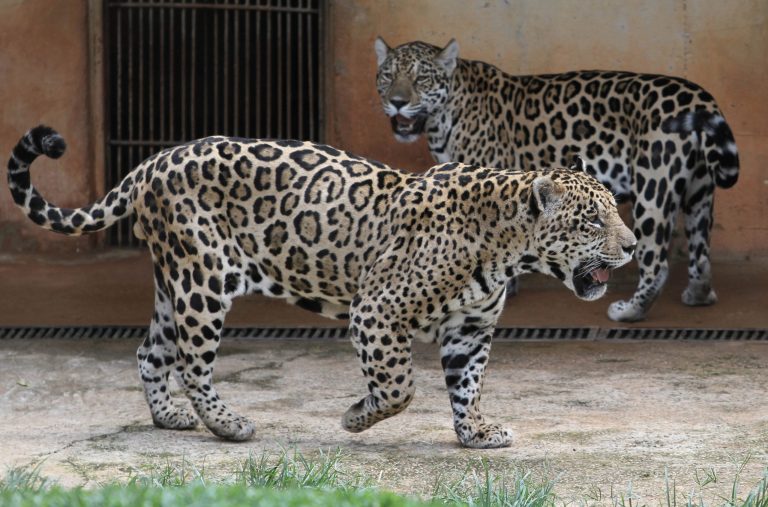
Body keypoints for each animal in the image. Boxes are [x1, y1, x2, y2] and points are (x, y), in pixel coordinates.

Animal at [8, 125, 635, 448]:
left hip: (175, 283)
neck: (505, 248)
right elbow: (400, 387)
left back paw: (169, 418)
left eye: (614, 213)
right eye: (591, 221)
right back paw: (228, 425)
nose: (631, 246)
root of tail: (152, 163)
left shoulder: (472, 330)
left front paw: (475, 432)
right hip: (203, 279)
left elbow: (468, 385)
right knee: (192, 363)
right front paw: (356, 417)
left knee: (150, 353)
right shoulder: (377, 311)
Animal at [374, 37, 740, 322]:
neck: (444, 115)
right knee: (700, 251)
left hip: (654, 188)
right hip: (700, 192)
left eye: (421, 79)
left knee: (654, 261)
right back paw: (698, 295)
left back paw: (629, 311)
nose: (397, 103)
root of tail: (700, 97)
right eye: (388, 76)